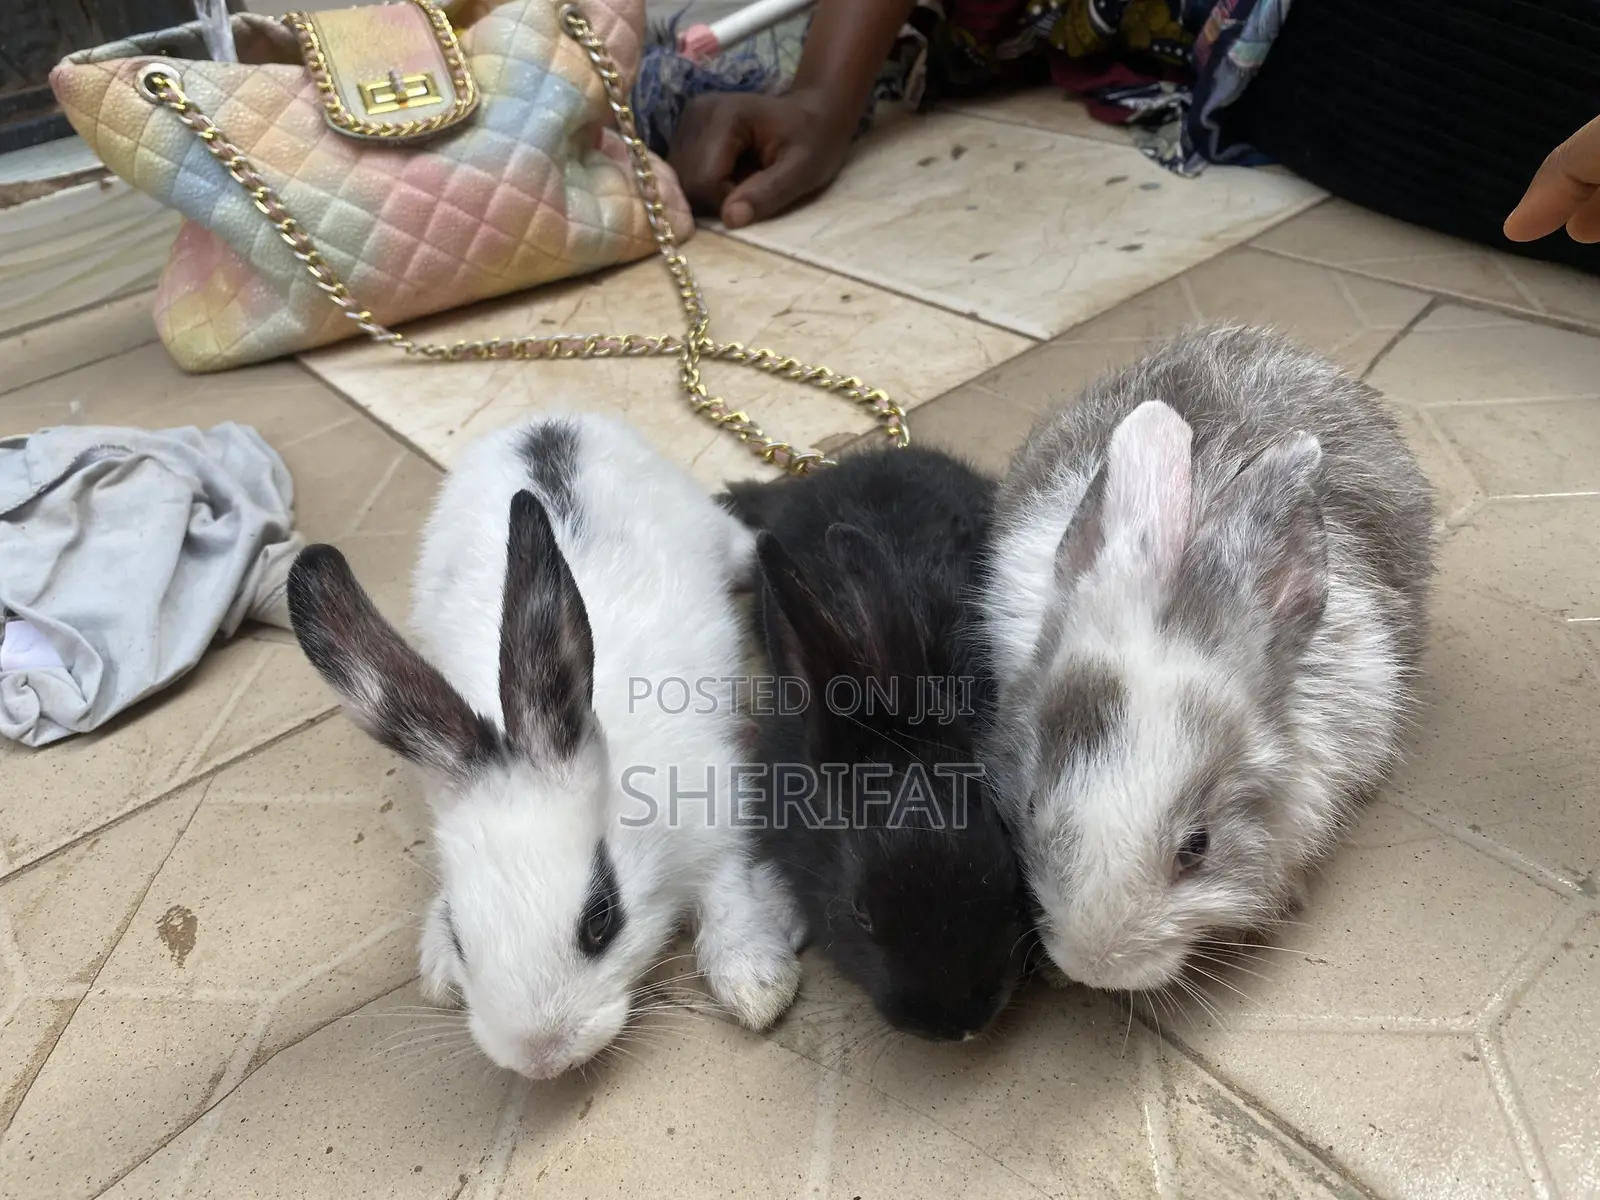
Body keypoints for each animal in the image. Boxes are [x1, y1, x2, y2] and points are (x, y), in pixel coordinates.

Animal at [288, 413, 803, 1080]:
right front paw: (436, 970)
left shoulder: (719, 820)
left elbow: (730, 900)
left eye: (601, 920)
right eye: (459, 934)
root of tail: (548, 421)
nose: (541, 1057)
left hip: (710, 526)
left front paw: (757, 985)